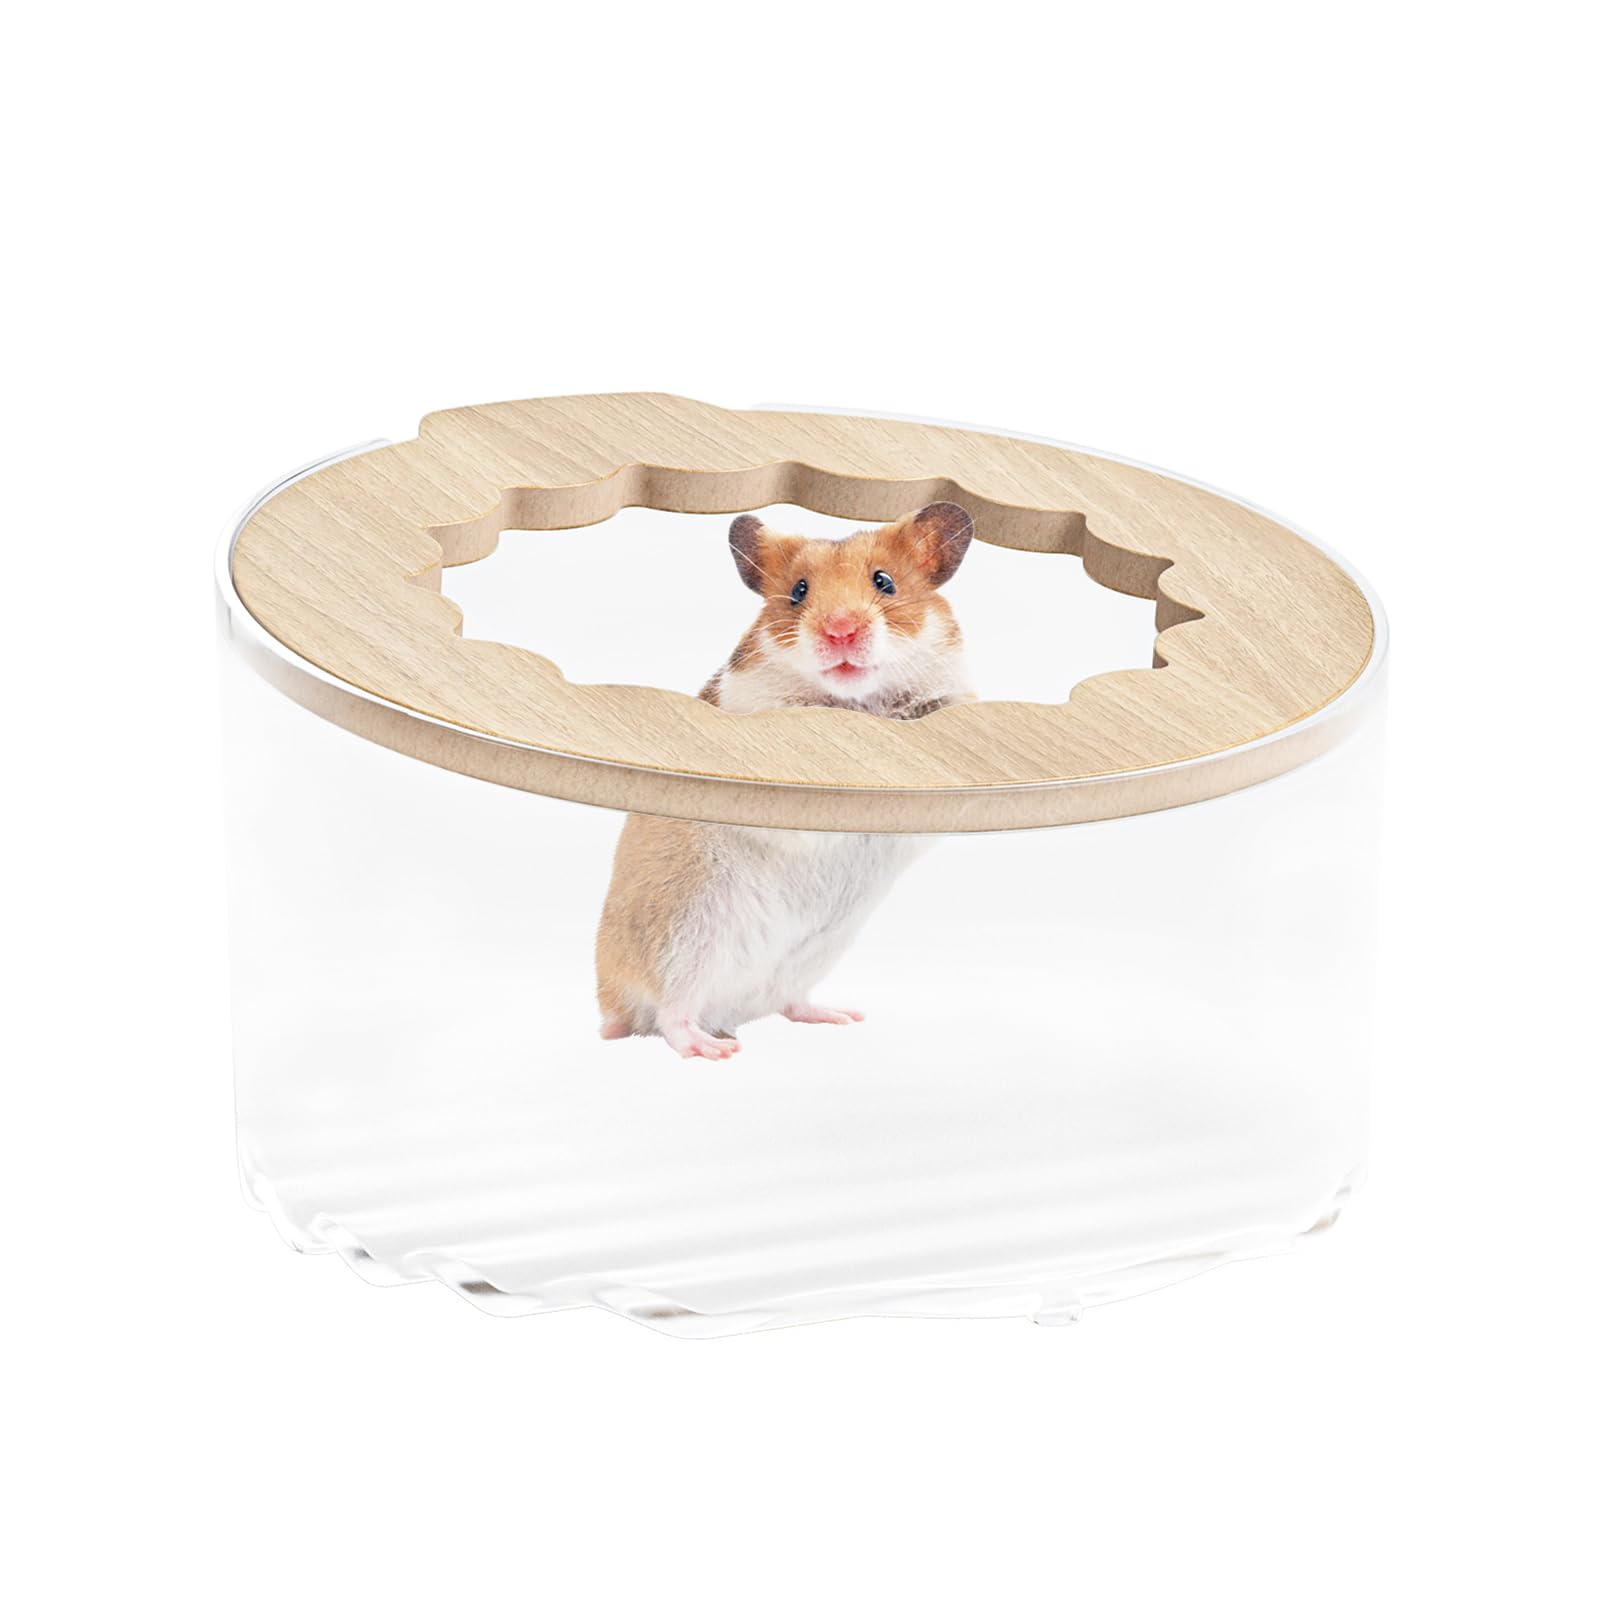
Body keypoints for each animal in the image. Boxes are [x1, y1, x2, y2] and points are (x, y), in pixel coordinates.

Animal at [595, 502, 976, 1059]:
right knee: (670, 1015)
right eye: (798, 591)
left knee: (788, 1002)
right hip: (684, 932)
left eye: (884, 582)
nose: (840, 632)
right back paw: (714, 1049)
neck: (856, 701)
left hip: (814, 952)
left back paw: (840, 1016)